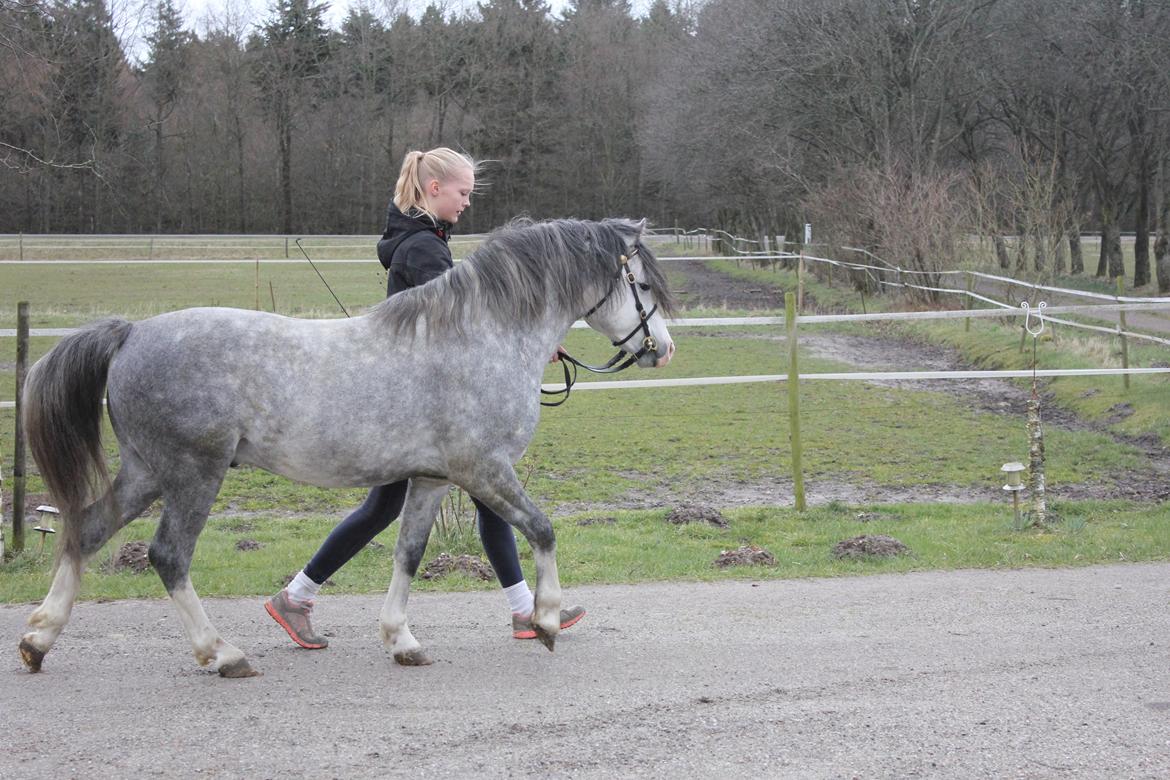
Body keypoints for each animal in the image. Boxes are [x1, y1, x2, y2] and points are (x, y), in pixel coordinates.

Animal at [19, 217, 676, 677]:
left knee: (87, 529)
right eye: (641, 283)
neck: (481, 335)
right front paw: (545, 620)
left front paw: (402, 640)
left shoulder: (433, 478)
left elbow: (409, 553)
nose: (662, 349)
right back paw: (222, 654)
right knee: (169, 556)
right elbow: (541, 530)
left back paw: (38, 639)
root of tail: (130, 333)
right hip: (193, 473)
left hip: (146, 472)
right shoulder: (483, 470)